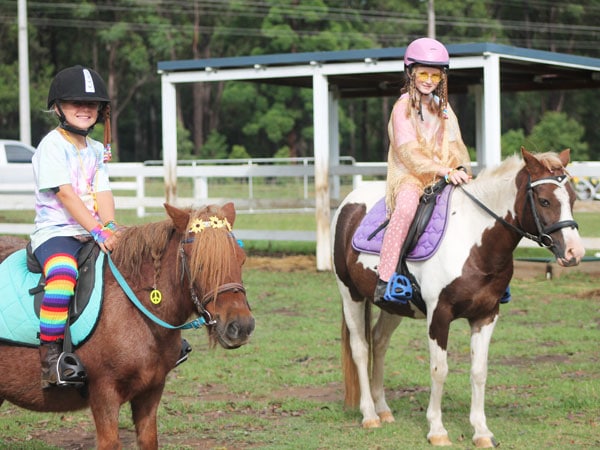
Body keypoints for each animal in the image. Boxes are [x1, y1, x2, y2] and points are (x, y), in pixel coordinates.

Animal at [0, 203, 253, 450]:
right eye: (199, 264)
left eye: (241, 259)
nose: (241, 326)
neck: (133, 307)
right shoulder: (104, 394)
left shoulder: (151, 390)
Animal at [330, 149, 584, 446]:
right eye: (544, 200)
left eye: (573, 198)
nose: (574, 252)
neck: (473, 239)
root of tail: (349, 204)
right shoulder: (439, 315)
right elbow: (439, 370)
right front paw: (437, 430)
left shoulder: (486, 315)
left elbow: (479, 371)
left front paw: (482, 432)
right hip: (350, 294)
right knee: (360, 348)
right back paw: (370, 415)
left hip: (393, 305)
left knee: (379, 342)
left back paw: (383, 410)